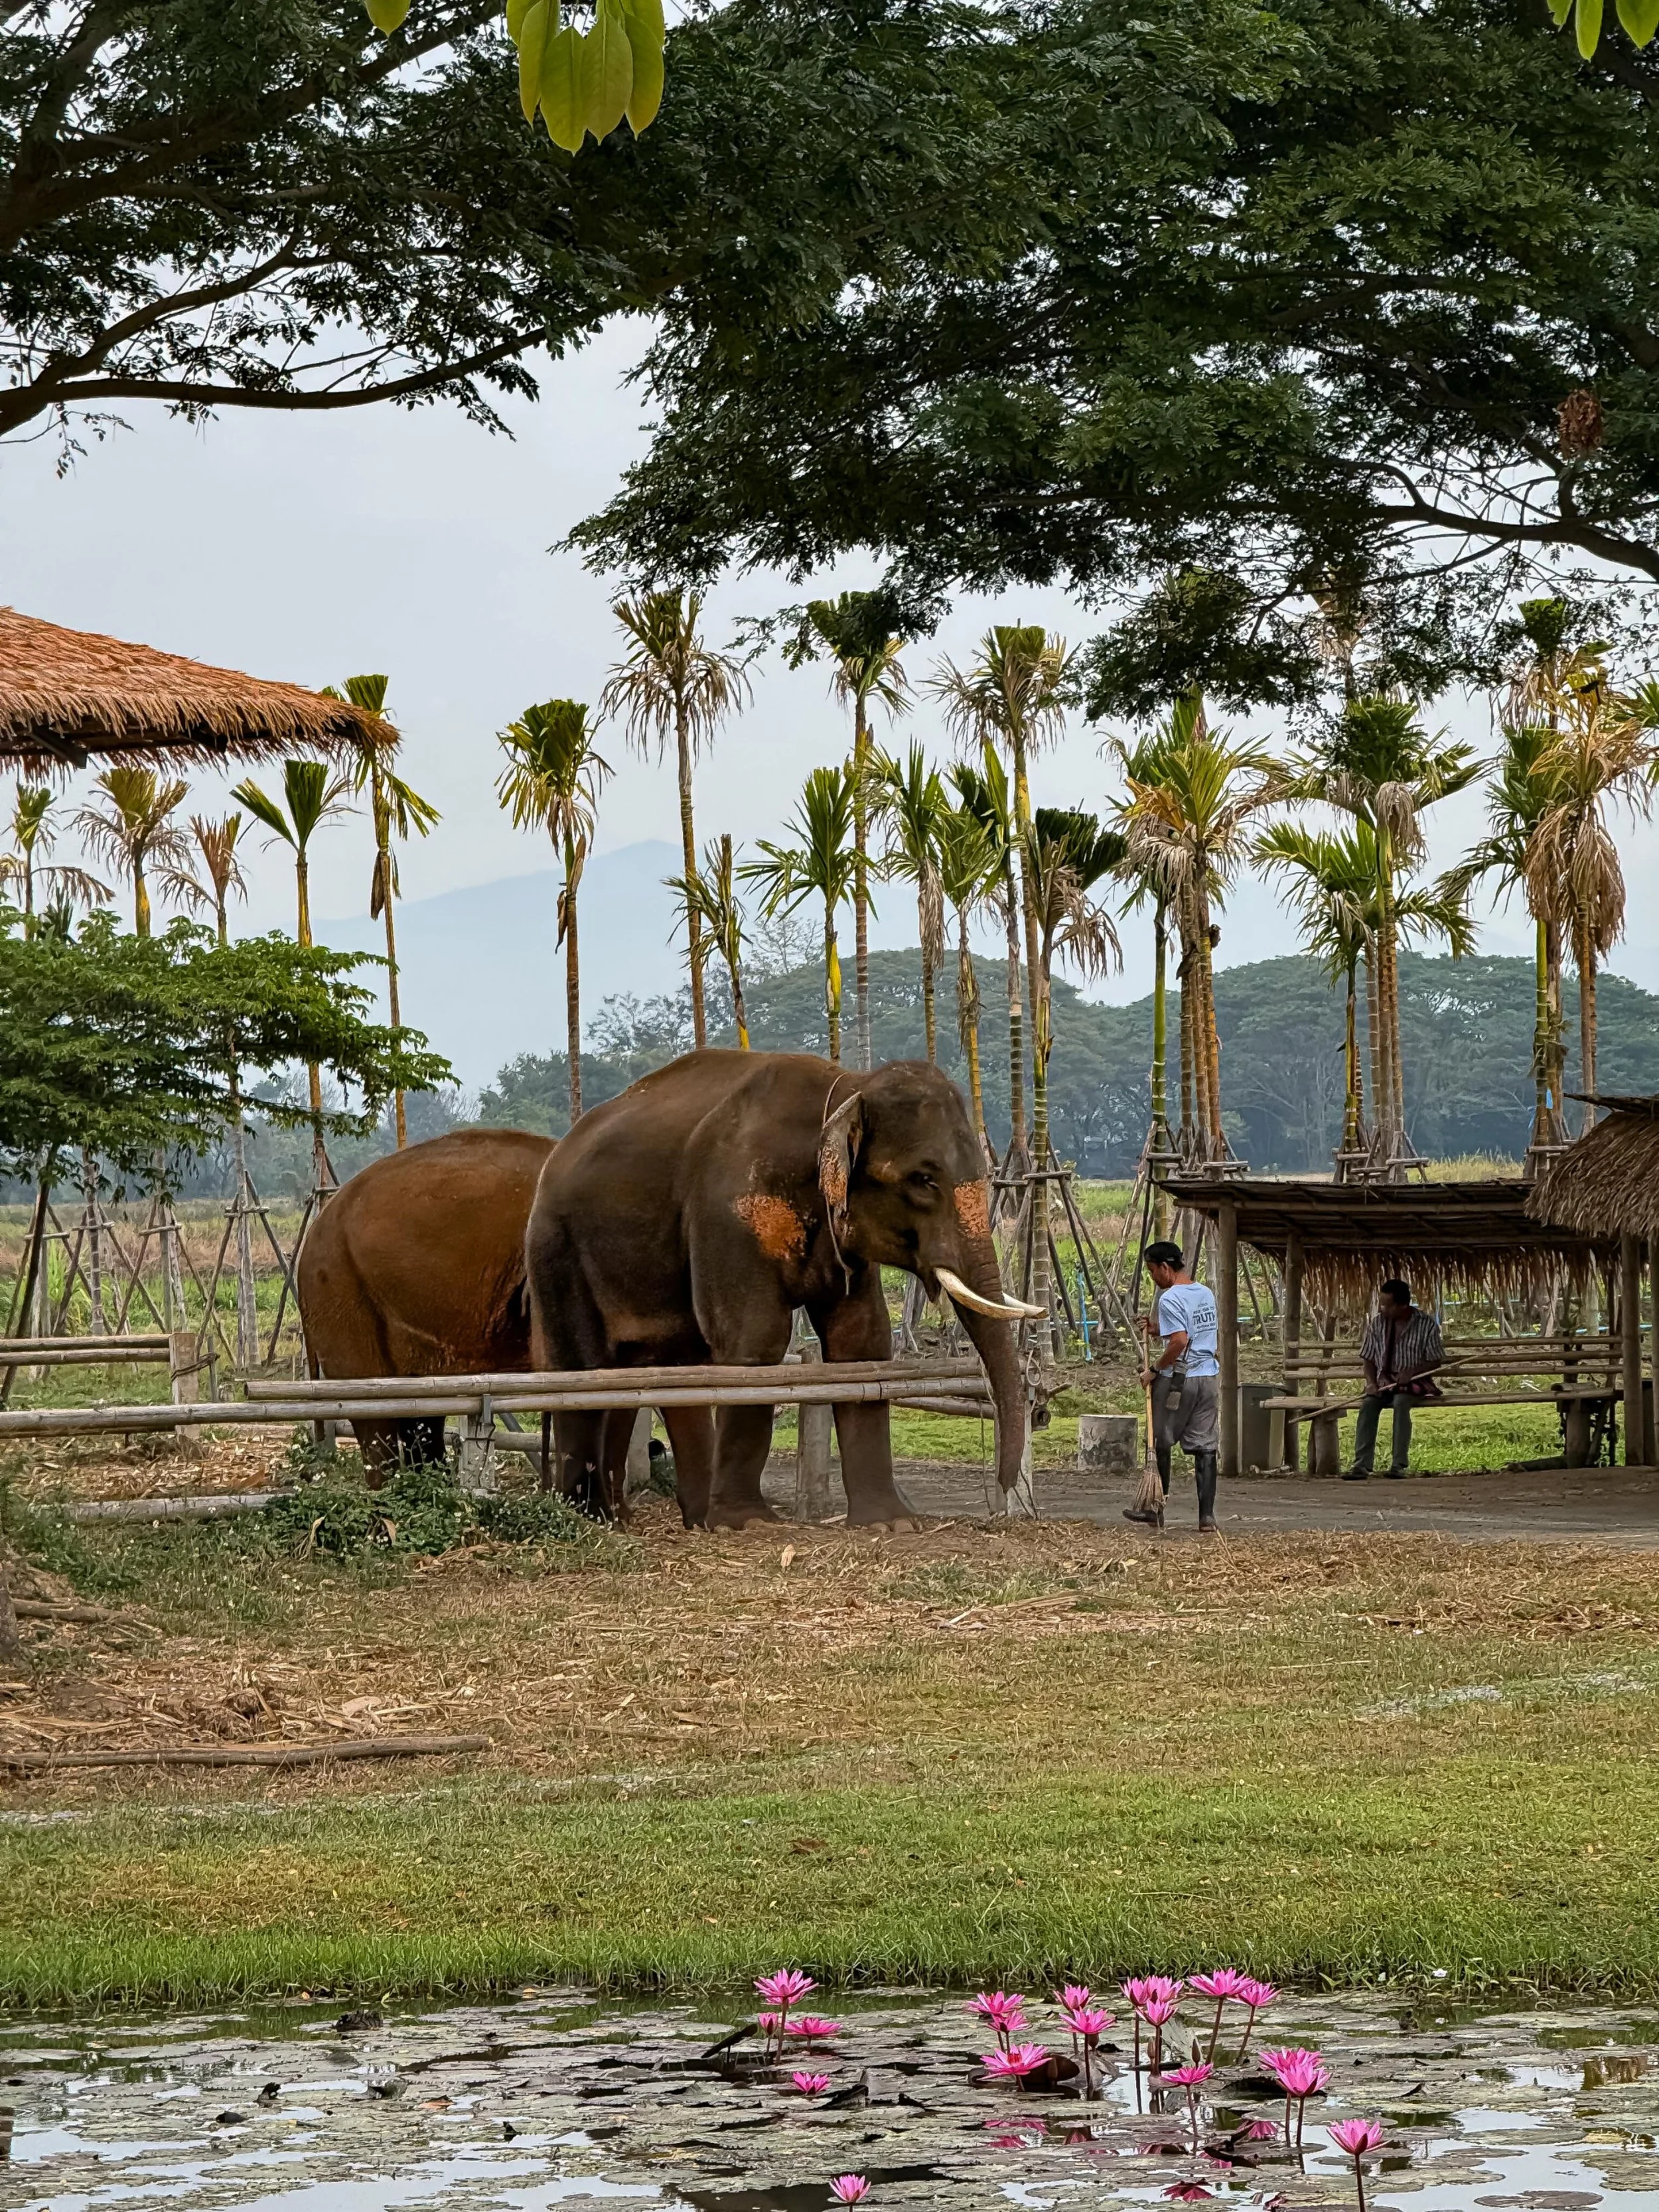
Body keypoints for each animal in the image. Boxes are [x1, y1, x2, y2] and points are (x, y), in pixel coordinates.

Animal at [524, 1050, 1038, 1527]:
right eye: (924, 1179)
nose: (1004, 1488)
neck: (848, 1085)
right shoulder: (730, 1210)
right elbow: (757, 1338)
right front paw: (748, 1523)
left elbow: (861, 1340)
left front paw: (891, 1523)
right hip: (556, 1250)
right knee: (584, 1368)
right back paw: (586, 1515)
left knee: (654, 1374)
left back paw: (654, 1520)